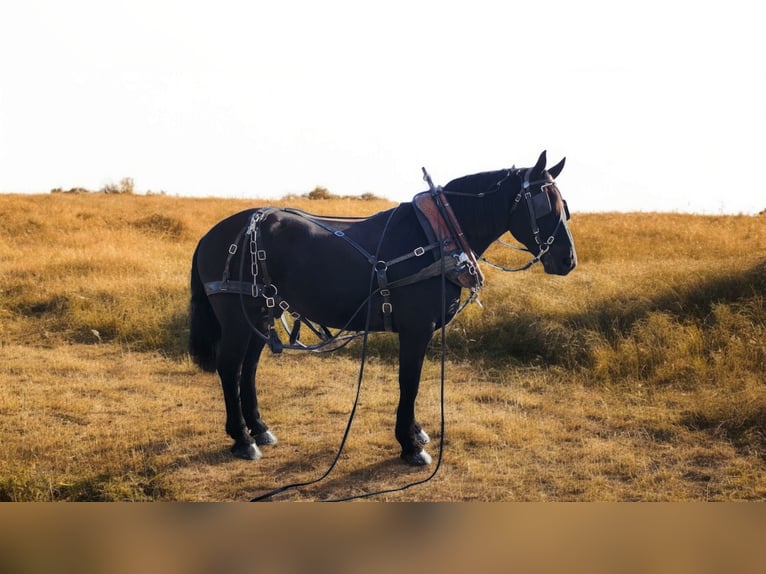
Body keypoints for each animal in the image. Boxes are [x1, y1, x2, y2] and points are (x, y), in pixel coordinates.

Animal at [190, 152, 576, 468]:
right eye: (545, 204)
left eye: (565, 205)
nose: (568, 261)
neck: (439, 233)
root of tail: (212, 235)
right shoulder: (417, 328)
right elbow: (410, 381)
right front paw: (410, 445)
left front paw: (415, 432)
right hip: (237, 317)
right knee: (230, 368)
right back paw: (242, 439)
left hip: (262, 313)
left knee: (249, 368)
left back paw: (259, 428)